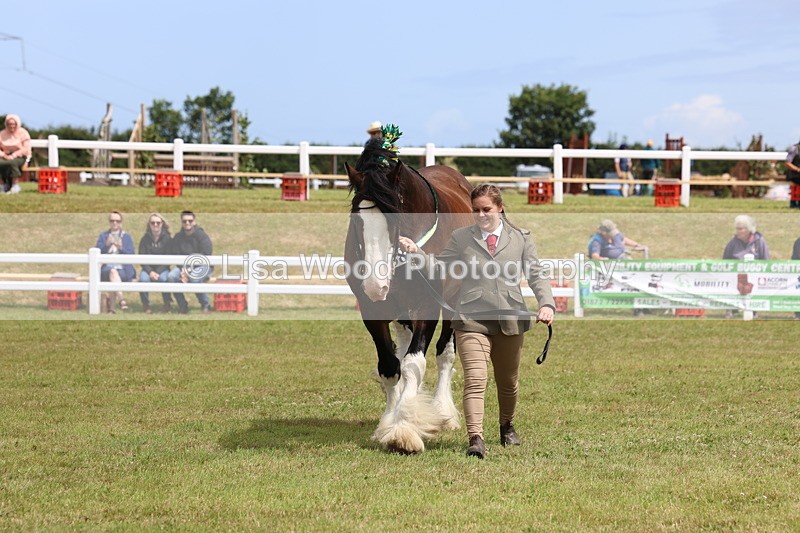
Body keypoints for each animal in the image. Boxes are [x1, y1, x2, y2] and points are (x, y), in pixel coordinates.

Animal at [344, 135, 474, 454]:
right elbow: (391, 367)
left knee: (444, 353)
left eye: (395, 219)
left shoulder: (428, 305)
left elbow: (414, 363)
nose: (375, 285)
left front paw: (404, 429)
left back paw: (443, 410)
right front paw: (389, 424)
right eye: (356, 220)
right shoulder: (372, 311)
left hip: (451, 303)